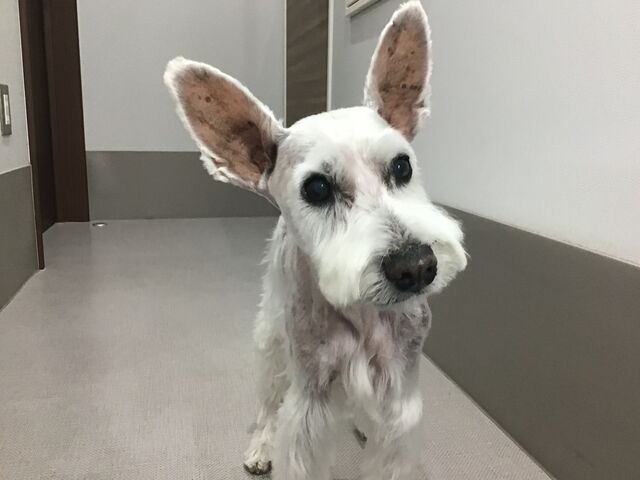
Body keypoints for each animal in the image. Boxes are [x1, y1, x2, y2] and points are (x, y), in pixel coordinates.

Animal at [164, 2, 466, 478]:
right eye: (318, 188)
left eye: (402, 166)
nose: (416, 266)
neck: (364, 315)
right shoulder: (310, 401)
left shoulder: (399, 399)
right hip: (270, 337)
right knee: (269, 403)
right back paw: (261, 444)